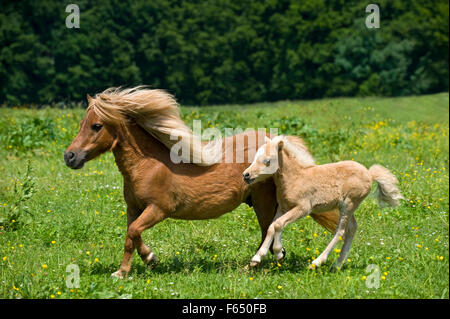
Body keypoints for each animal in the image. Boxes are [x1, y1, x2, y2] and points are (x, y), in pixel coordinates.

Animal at [64, 87, 338, 278]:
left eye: (96, 126)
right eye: (82, 123)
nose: (70, 156)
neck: (148, 166)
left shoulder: (158, 209)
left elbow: (133, 232)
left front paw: (141, 263)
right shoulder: (134, 209)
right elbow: (131, 236)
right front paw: (132, 267)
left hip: (263, 202)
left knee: (268, 231)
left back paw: (257, 264)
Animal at [244, 136, 402, 270]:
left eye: (267, 161)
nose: (246, 175)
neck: (294, 178)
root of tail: (370, 174)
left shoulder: (303, 208)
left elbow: (277, 224)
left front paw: (278, 253)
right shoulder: (283, 208)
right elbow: (272, 226)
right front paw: (257, 258)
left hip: (349, 204)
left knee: (341, 231)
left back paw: (316, 263)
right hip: (347, 207)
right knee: (352, 228)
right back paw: (337, 265)